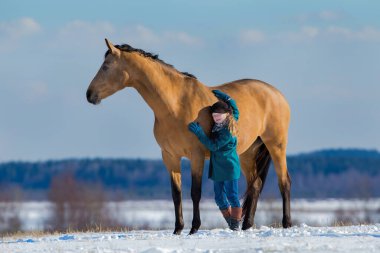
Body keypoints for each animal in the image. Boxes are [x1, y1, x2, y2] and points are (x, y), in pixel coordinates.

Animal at [86, 38, 292, 234]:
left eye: (106, 66)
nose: (89, 95)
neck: (175, 105)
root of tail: (277, 94)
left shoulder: (196, 155)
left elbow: (195, 192)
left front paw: (194, 228)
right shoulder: (170, 157)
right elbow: (176, 194)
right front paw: (178, 229)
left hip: (276, 146)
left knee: (284, 182)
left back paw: (287, 223)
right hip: (247, 153)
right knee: (255, 185)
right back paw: (247, 226)